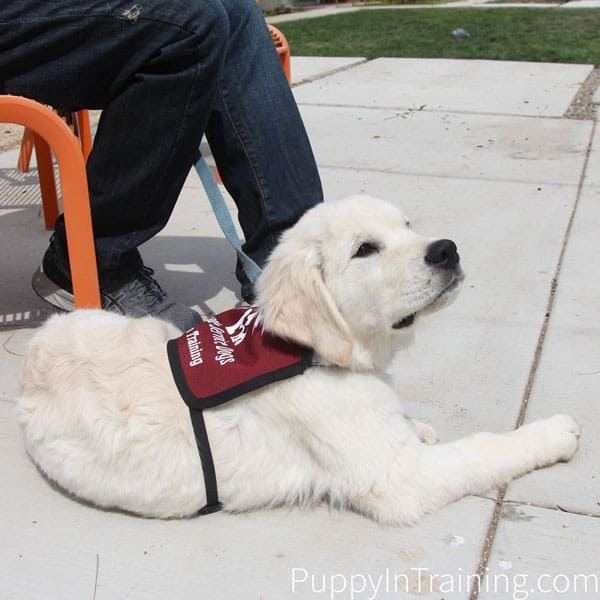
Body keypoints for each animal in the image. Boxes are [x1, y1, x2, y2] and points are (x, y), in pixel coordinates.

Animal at [17, 198, 580, 524]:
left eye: (407, 226)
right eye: (365, 249)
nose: (447, 250)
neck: (313, 352)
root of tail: (30, 363)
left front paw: (415, 424)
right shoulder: (400, 479)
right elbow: (486, 448)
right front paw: (555, 433)